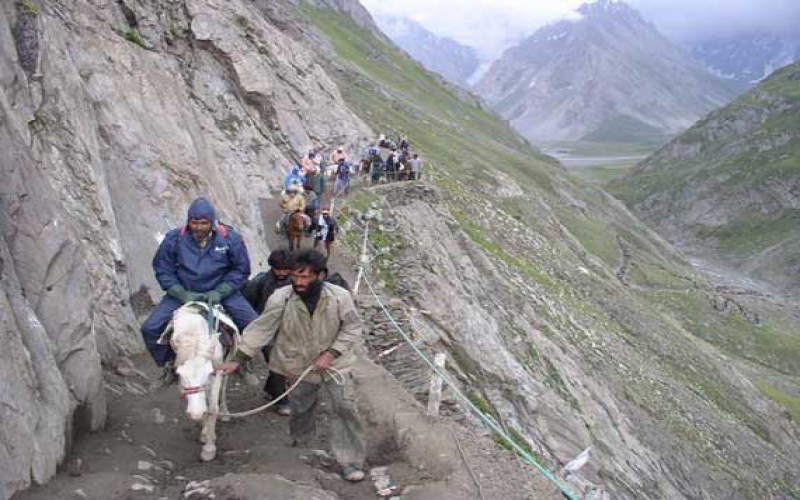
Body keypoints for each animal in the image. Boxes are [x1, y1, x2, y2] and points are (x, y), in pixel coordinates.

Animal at [166, 300, 234, 460]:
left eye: (209, 372)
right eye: (179, 374)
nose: (195, 413)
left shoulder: (217, 373)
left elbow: (212, 408)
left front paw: (209, 448)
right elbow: (204, 406)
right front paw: (205, 434)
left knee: (223, 387)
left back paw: (225, 412)